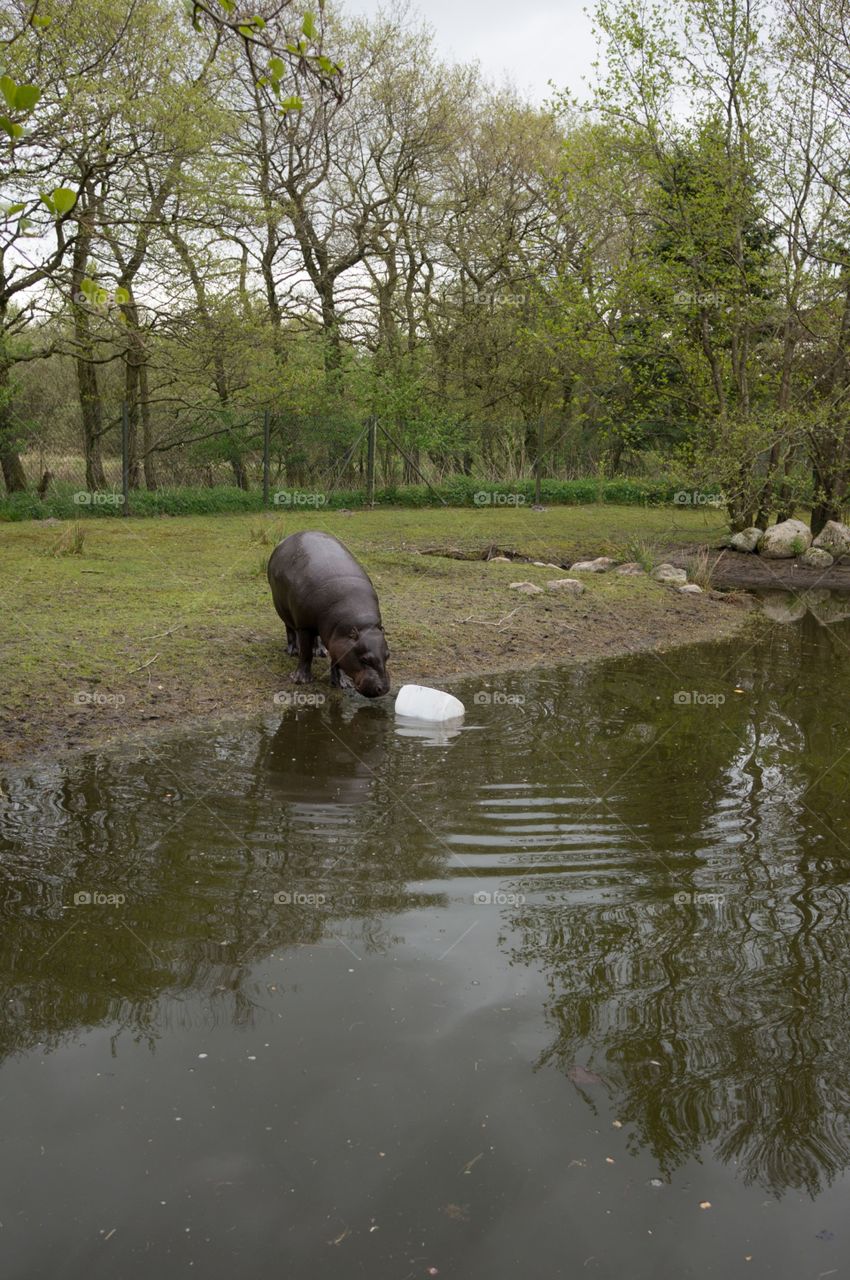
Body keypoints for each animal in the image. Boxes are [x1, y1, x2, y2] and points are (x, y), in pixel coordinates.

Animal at [267, 530, 390, 698]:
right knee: (290, 628)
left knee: (317, 638)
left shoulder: (338, 638)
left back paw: (320, 651)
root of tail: (288, 538)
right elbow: (306, 654)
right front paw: (300, 680)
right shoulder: (305, 626)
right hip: (283, 608)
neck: (362, 625)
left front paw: (342, 683)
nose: (383, 689)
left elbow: (337, 659)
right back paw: (293, 651)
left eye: (388, 655)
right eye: (365, 659)